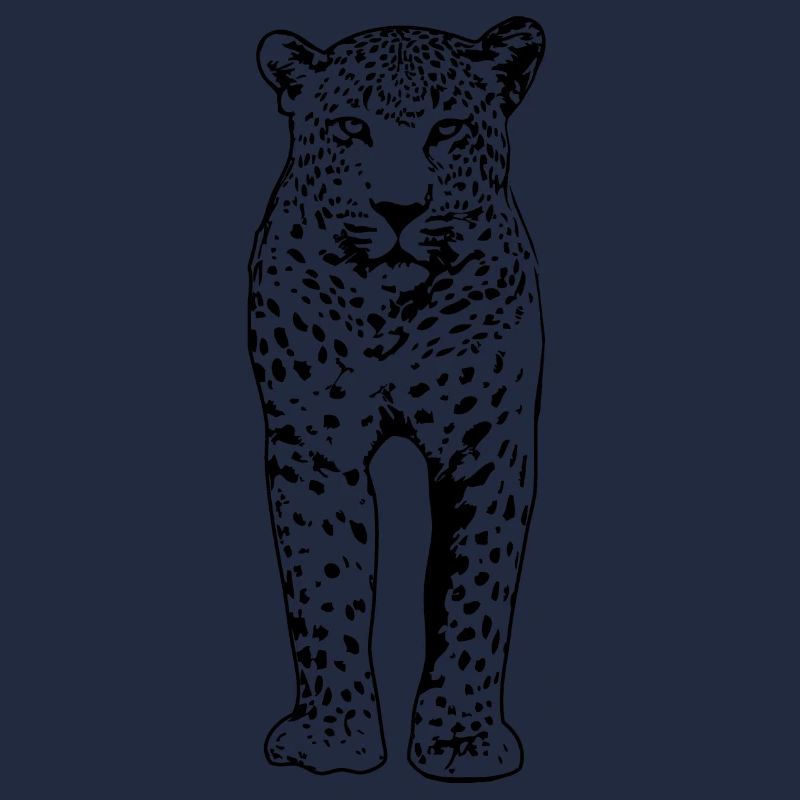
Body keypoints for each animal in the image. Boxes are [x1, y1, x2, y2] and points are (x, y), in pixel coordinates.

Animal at [247, 16, 546, 782]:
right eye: (354, 127)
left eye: (446, 129)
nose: (400, 210)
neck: (392, 313)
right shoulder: (314, 445)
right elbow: (325, 585)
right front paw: (334, 736)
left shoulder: (487, 446)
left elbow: (474, 591)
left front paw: (463, 739)